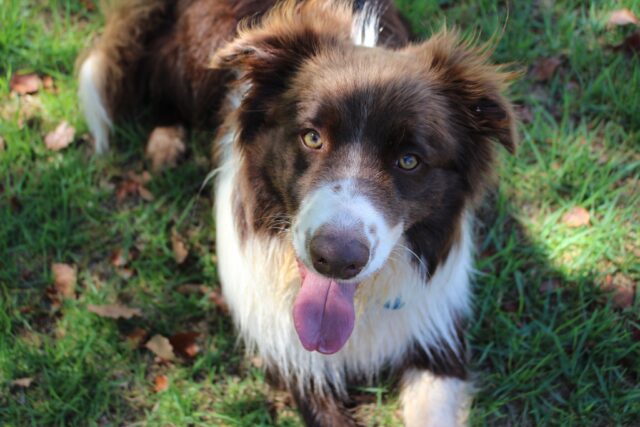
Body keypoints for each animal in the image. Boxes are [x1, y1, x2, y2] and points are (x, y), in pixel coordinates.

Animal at [77, 1, 516, 426]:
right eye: (312, 138)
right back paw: (165, 141)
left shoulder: (436, 334)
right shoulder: (293, 355)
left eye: (409, 161)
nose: (336, 260)